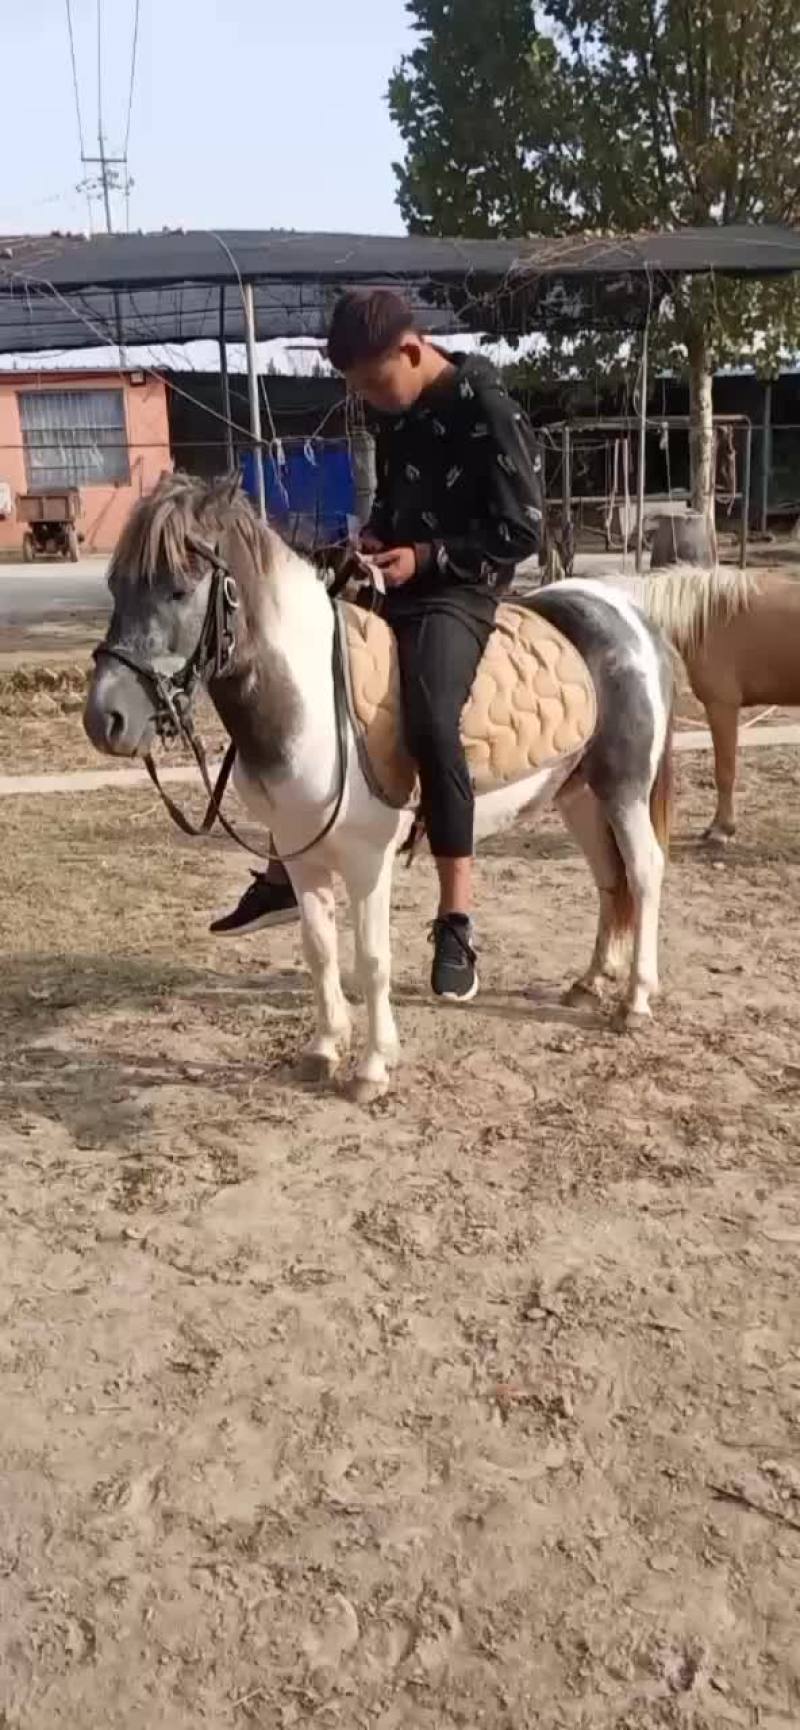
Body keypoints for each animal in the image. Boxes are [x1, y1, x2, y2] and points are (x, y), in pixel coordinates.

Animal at [83, 474, 673, 1100]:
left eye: (178, 588)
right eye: (115, 585)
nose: (105, 720)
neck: (314, 698)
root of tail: (624, 611)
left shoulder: (368, 861)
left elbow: (370, 959)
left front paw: (371, 1067)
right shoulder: (301, 854)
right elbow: (319, 950)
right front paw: (323, 1049)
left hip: (625, 788)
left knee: (643, 873)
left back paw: (634, 1001)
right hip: (578, 793)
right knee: (610, 880)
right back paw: (590, 982)